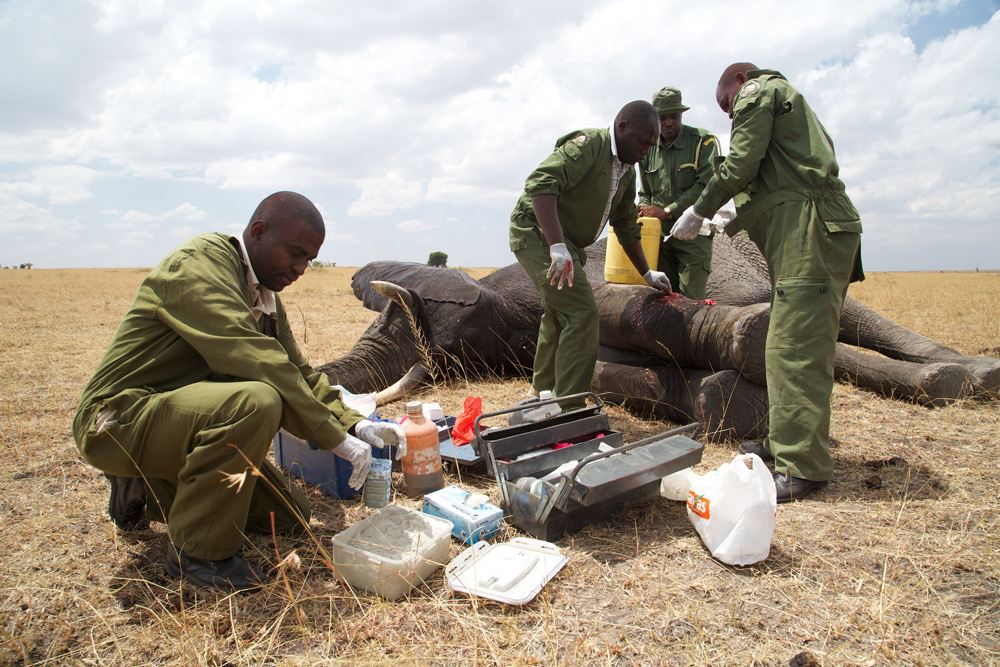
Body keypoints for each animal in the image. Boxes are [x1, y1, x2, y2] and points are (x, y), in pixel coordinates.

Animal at [316, 235, 996, 444]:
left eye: (434, 338)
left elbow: (633, 305)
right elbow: (595, 372)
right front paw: (727, 399)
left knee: (841, 319)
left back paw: (967, 376)